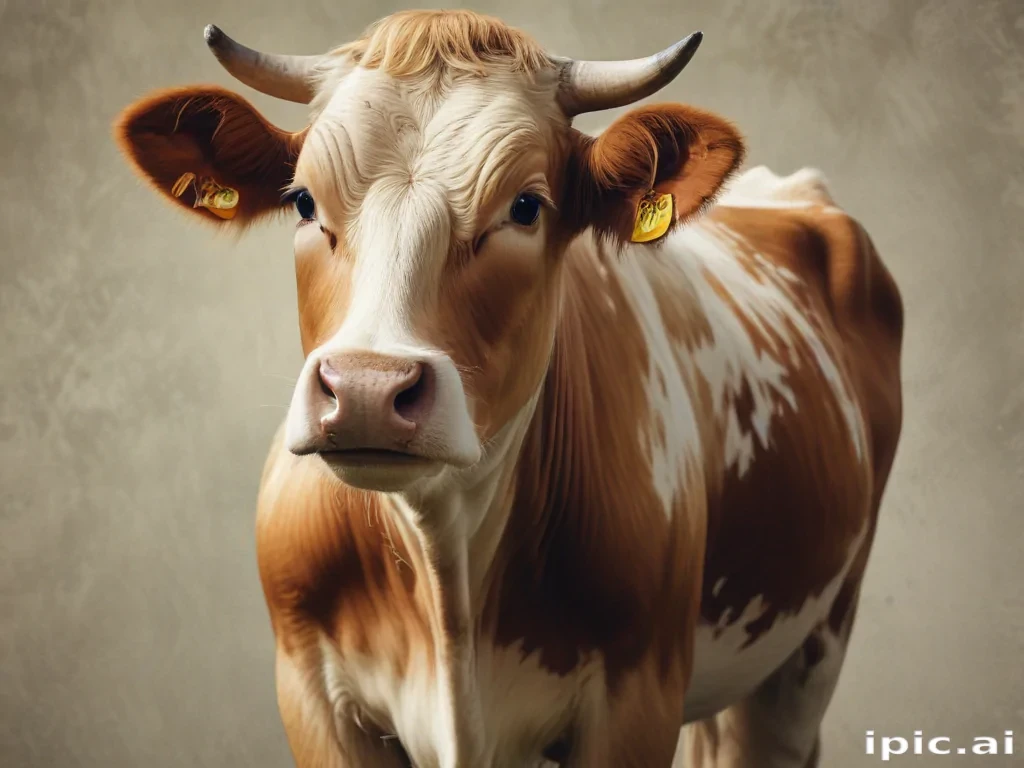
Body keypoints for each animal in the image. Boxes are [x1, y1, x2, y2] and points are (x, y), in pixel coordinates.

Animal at [113, 10, 904, 767]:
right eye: (304, 201)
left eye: (526, 207)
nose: (367, 389)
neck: (447, 565)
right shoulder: (311, 694)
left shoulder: (638, 700)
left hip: (812, 648)